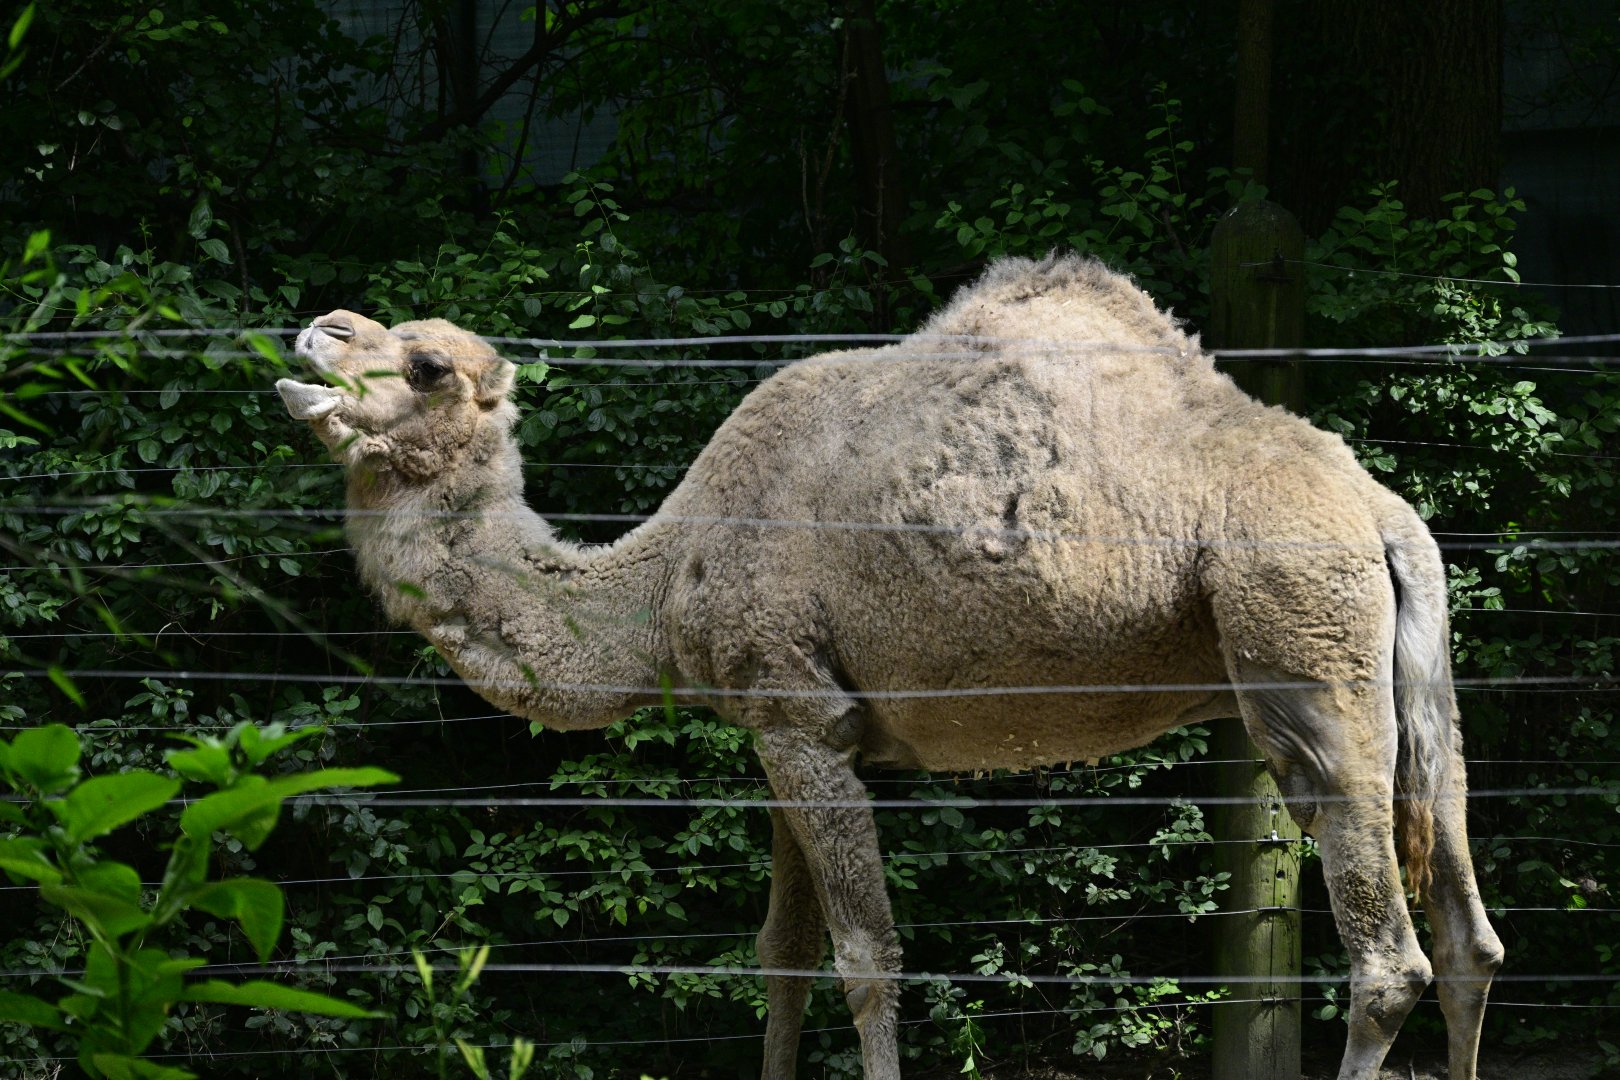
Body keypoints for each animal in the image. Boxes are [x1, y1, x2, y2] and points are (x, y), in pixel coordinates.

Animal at [276, 255, 1503, 1080]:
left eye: (427, 364)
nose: (316, 334)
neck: (669, 576)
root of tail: (1381, 513)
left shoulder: (803, 717)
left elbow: (867, 958)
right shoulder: (778, 727)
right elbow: (781, 950)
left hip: (1304, 650)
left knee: (1387, 955)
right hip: (1414, 688)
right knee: (1467, 932)